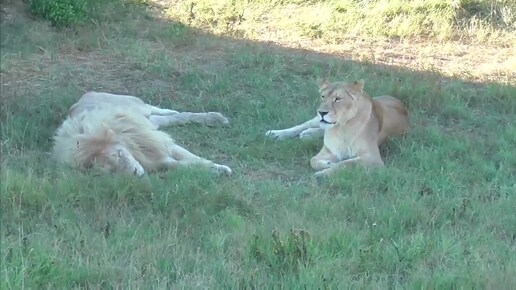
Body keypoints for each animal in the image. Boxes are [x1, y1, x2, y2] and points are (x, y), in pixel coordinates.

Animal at [52, 91, 232, 177]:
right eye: (110, 168)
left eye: (119, 154)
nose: (134, 173)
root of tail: (83, 98)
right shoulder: (155, 157)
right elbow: (178, 164)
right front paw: (213, 170)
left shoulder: (160, 144)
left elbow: (194, 158)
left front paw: (220, 168)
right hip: (147, 120)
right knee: (169, 118)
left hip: (135, 106)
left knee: (157, 109)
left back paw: (215, 118)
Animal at [268, 79, 410, 177]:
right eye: (323, 96)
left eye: (338, 99)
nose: (322, 112)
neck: (340, 128)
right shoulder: (330, 151)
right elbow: (312, 160)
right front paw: (327, 164)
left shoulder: (373, 158)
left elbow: (347, 163)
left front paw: (323, 174)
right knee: (305, 125)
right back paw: (275, 134)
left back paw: (307, 134)